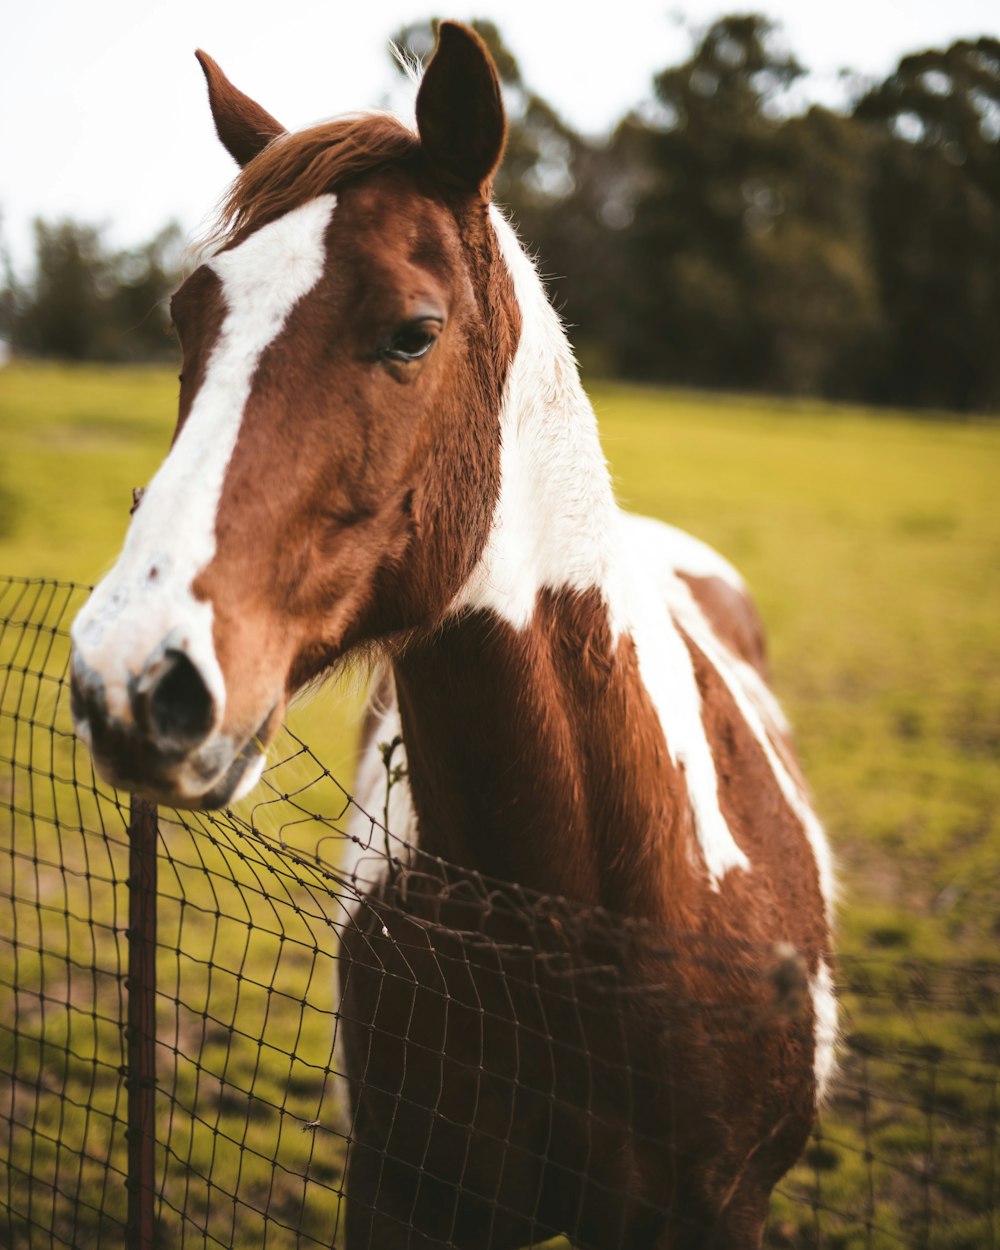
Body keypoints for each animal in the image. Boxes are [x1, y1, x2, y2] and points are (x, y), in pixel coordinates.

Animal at [70, 22, 835, 1250]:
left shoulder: (720, 1207)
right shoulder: (405, 1196)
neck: (582, 918)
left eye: (412, 333)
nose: (130, 675)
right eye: (190, 315)